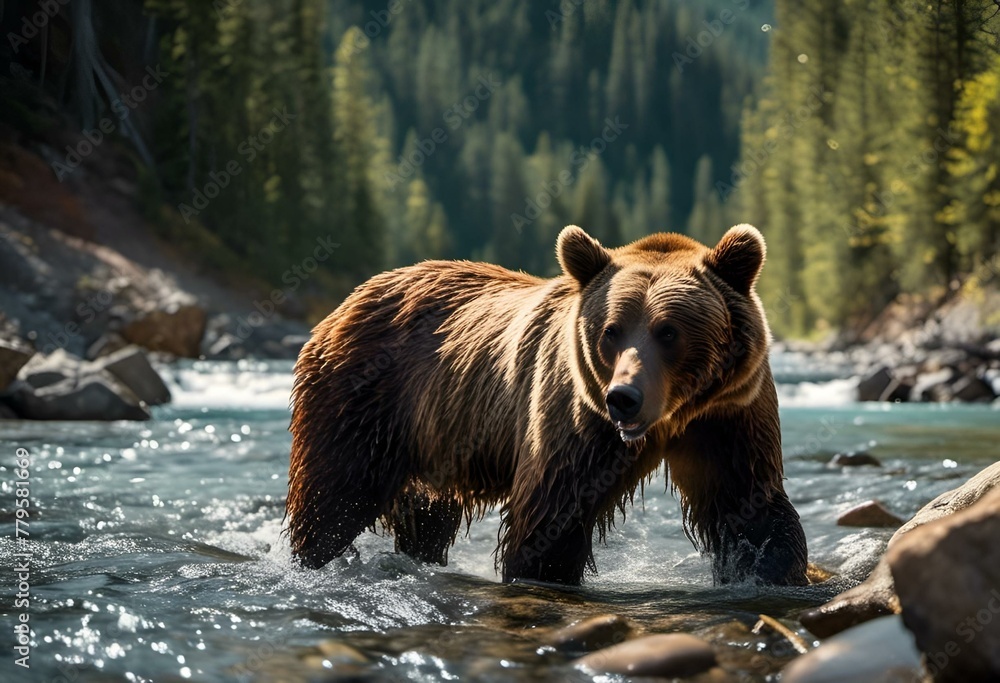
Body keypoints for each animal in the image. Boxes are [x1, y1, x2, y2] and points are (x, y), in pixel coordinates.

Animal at [286, 226, 808, 588]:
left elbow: (748, 505)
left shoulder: (727, 417)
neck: (671, 417)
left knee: (426, 520)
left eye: (668, 330)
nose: (624, 397)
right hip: (361, 402)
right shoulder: (575, 417)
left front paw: (773, 571)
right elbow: (548, 518)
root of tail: (349, 299)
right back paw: (314, 559)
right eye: (611, 330)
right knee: (332, 499)